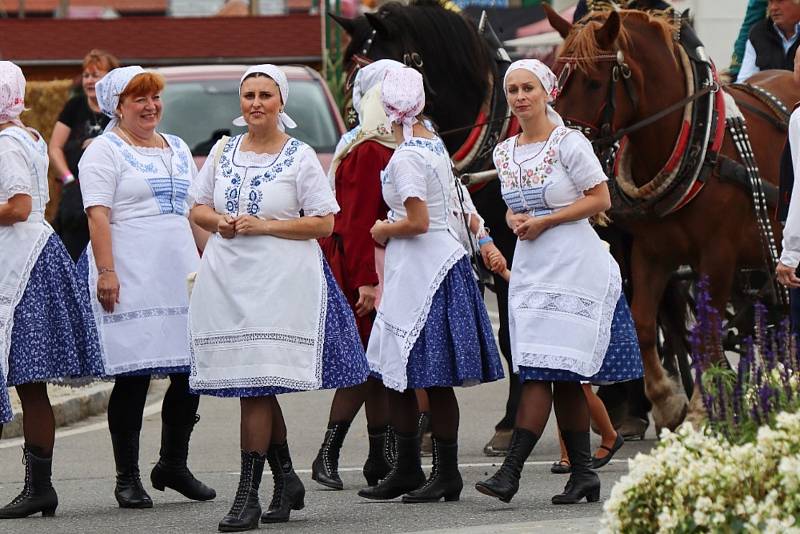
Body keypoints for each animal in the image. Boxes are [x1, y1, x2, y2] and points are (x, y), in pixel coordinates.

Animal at [548, 4, 800, 432]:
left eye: (594, 84)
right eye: (554, 78)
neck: (698, 141)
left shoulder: (718, 255)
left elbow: (708, 332)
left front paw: (701, 410)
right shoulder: (652, 252)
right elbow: (644, 324)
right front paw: (668, 401)